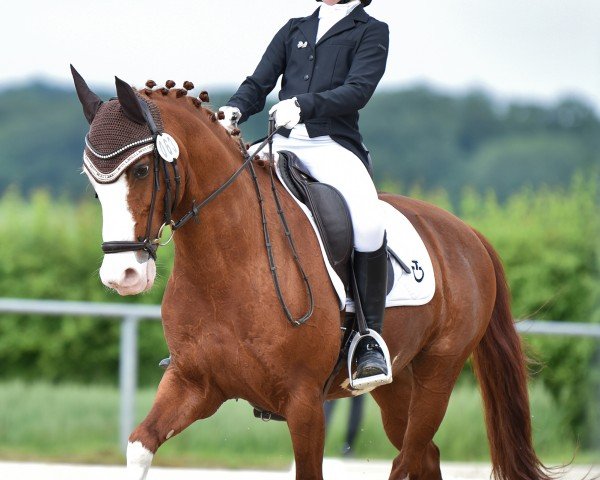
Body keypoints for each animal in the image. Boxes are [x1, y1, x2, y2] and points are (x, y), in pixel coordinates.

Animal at [71, 70, 552, 480]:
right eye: (93, 184)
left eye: (141, 169)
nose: (122, 275)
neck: (229, 264)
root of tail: (468, 234)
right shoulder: (194, 383)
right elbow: (139, 446)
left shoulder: (303, 403)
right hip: (395, 383)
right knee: (424, 456)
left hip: (439, 370)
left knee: (410, 456)